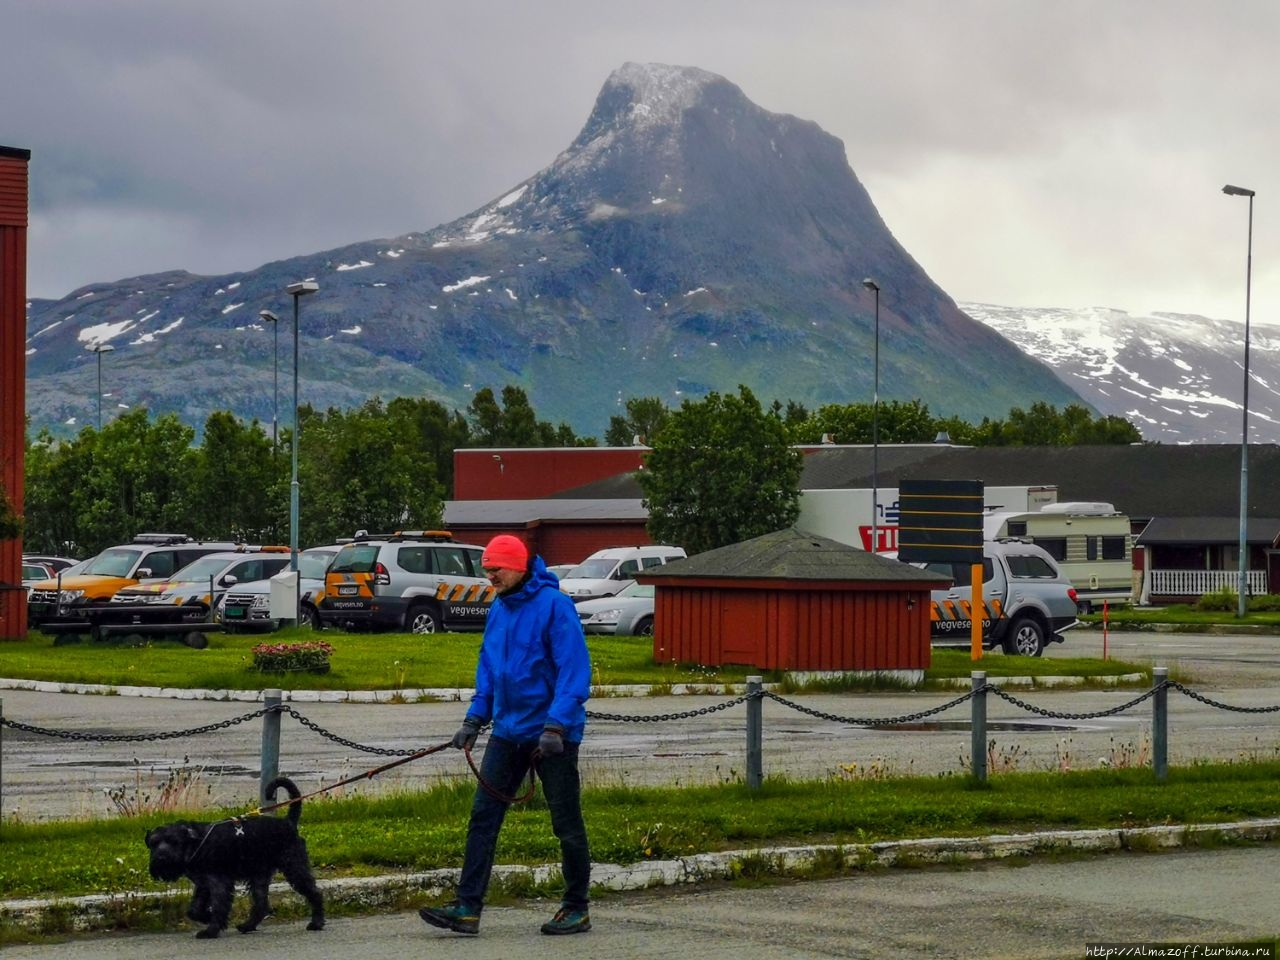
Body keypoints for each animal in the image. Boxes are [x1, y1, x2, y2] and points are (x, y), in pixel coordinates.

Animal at [144, 773, 325, 942]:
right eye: (153, 843)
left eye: (174, 842)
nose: (161, 858)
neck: (196, 843)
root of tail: (289, 823)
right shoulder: (203, 884)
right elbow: (194, 909)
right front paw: (207, 917)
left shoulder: (219, 883)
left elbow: (218, 906)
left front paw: (211, 930)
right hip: (259, 876)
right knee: (261, 904)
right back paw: (247, 925)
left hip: (294, 868)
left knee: (314, 893)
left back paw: (316, 923)